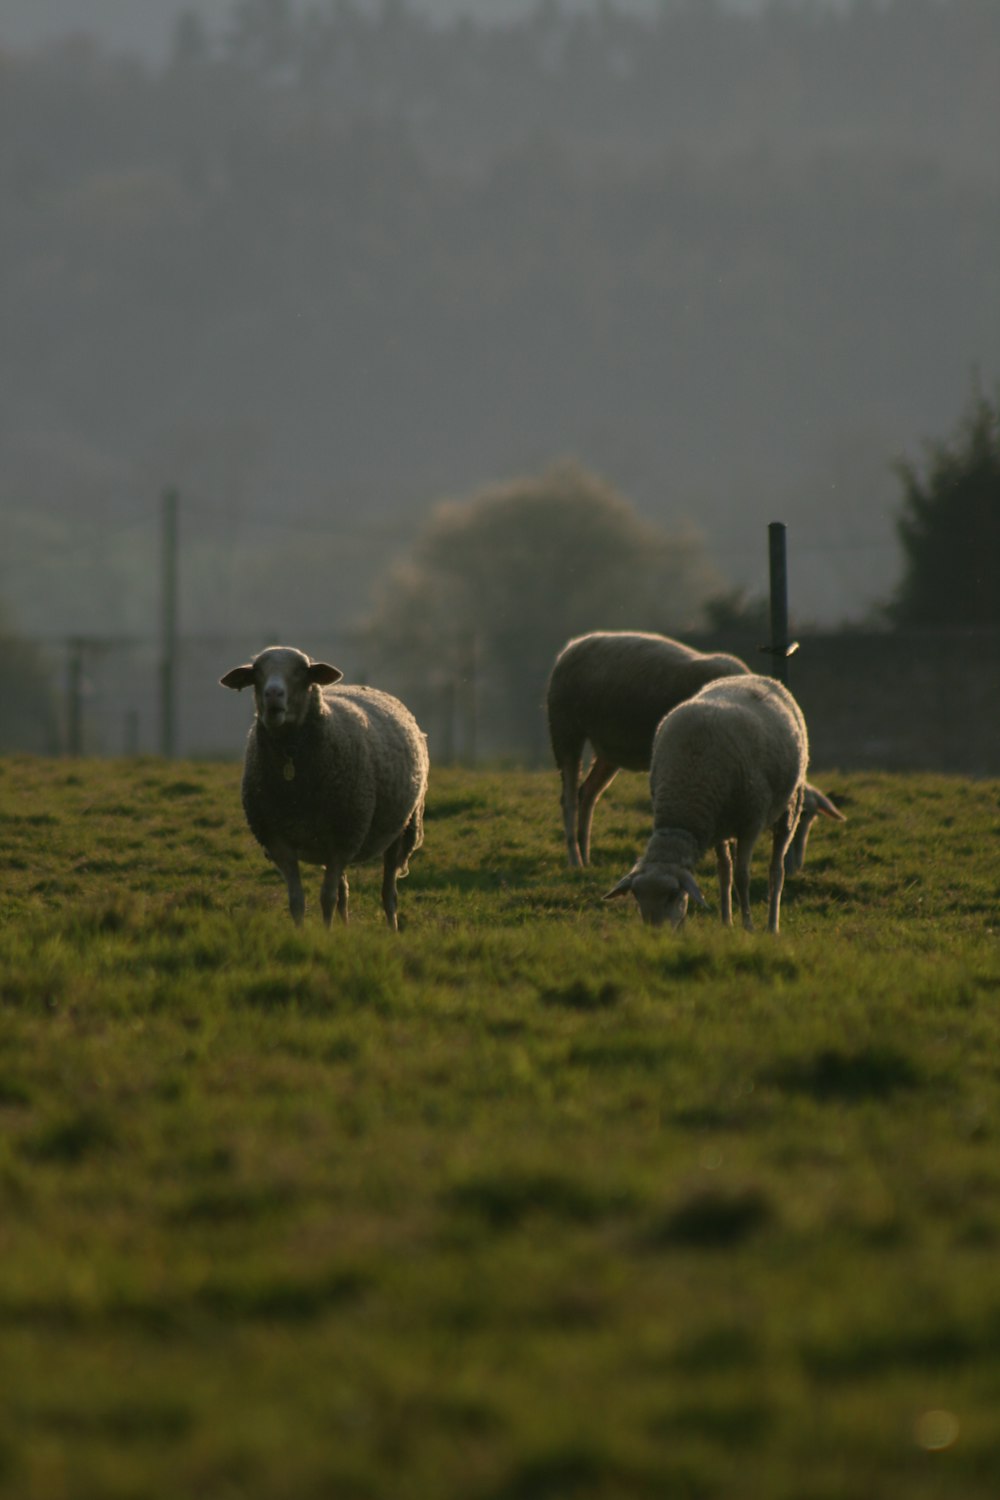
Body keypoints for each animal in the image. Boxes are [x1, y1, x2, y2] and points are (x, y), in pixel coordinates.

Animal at [220, 642, 428, 924]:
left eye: (302, 671)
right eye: (256, 671)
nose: (273, 694)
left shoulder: (343, 838)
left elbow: (326, 899)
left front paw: (326, 932)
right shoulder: (279, 841)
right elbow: (298, 900)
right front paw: (303, 931)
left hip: (402, 828)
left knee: (388, 893)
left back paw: (392, 926)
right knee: (344, 893)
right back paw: (345, 927)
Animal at [548, 630, 749, 870]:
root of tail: (572, 646)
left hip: (609, 747)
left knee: (587, 792)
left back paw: (586, 858)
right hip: (565, 728)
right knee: (569, 799)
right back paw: (575, 860)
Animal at [602, 675, 815, 930]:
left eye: (673, 894)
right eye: (636, 895)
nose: (654, 933)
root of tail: (758, 678)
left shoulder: (751, 822)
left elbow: (742, 876)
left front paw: (748, 925)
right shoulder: (715, 825)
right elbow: (724, 872)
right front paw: (726, 922)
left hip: (789, 807)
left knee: (776, 869)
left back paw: (772, 925)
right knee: (731, 868)